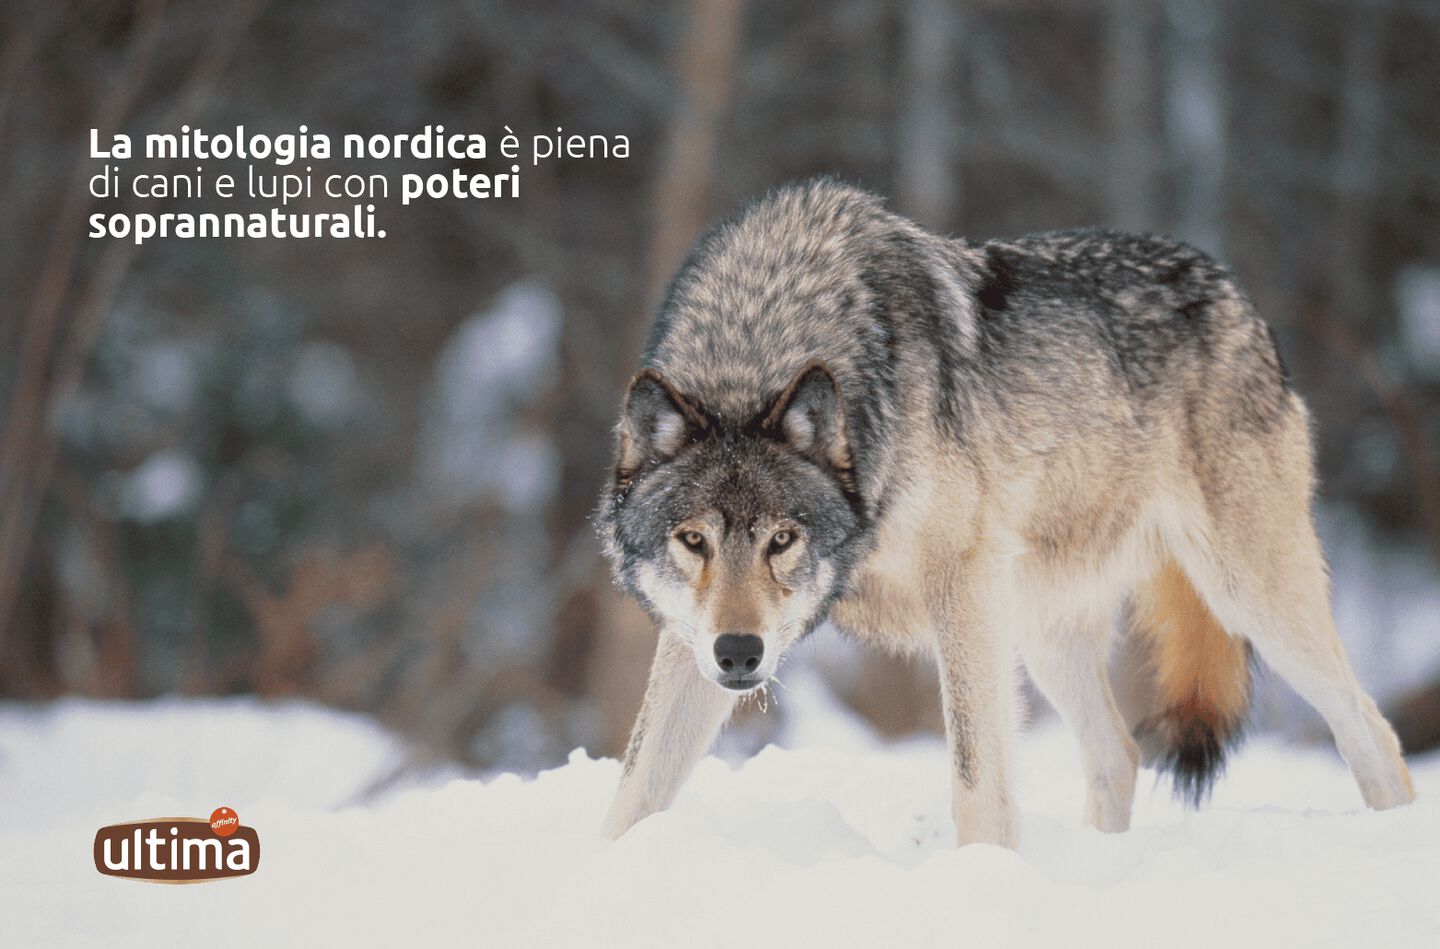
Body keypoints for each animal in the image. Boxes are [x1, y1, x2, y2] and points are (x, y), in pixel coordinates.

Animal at [597, 178, 1415, 847]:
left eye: (782, 539)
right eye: (693, 540)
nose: (740, 653)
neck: (762, 334)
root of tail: (1233, 289)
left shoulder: (961, 585)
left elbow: (975, 779)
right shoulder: (689, 638)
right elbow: (634, 789)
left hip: (1248, 598)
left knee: (1374, 733)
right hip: (1042, 631)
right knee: (1119, 754)